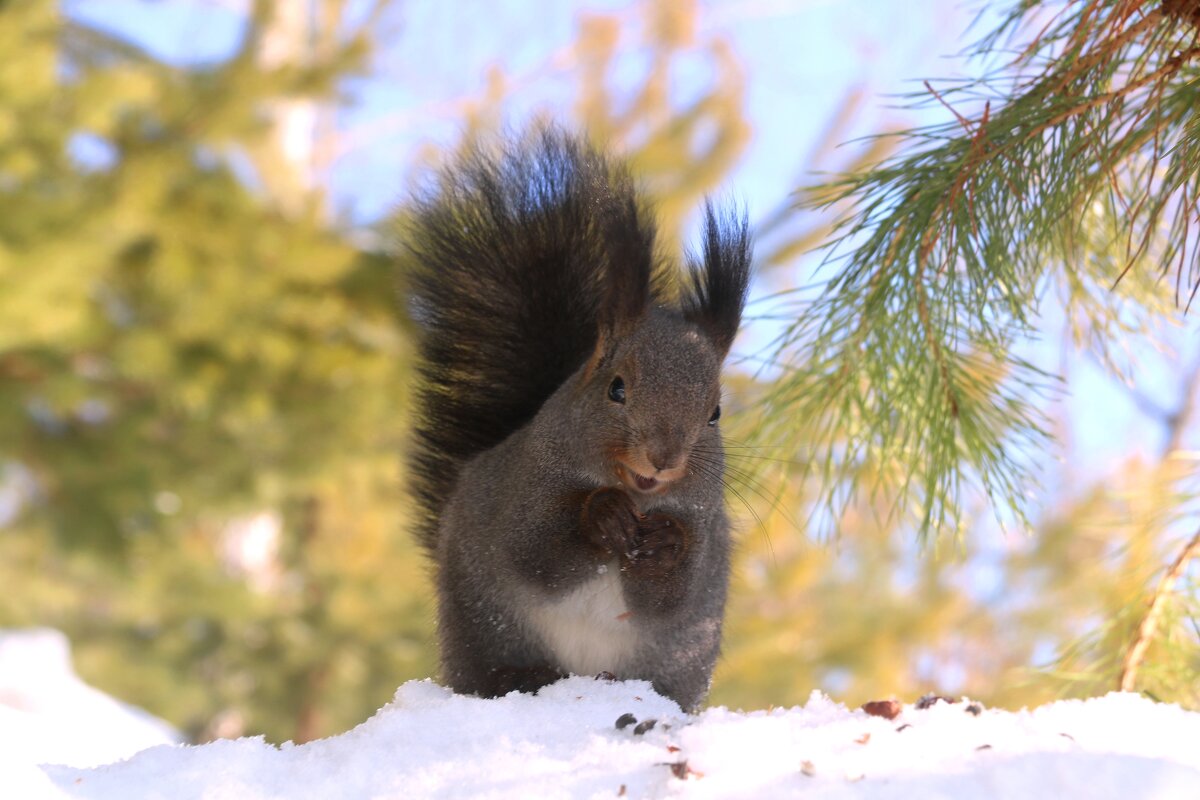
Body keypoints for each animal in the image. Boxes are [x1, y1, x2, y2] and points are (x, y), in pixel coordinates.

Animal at [408, 126, 753, 714]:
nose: (663, 459)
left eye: (714, 413)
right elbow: (536, 552)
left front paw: (665, 542)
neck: (636, 493)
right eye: (616, 388)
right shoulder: (523, 490)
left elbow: (670, 596)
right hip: (485, 625)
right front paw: (602, 515)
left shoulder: (703, 527)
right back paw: (517, 678)